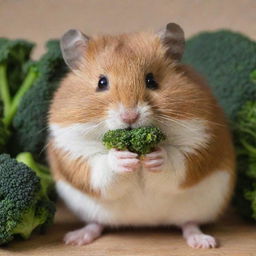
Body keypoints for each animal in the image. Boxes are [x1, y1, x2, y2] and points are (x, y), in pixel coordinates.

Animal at [47, 22, 235, 248]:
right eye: (102, 82)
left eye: (151, 80)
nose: (130, 116)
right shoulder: (72, 149)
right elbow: (101, 166)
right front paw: (123, 159)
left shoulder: (202, 140)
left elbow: (177, 160)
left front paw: (156, 157)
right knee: (97, 223)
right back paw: (75, 239)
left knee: (189, 223)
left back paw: (204, 242)